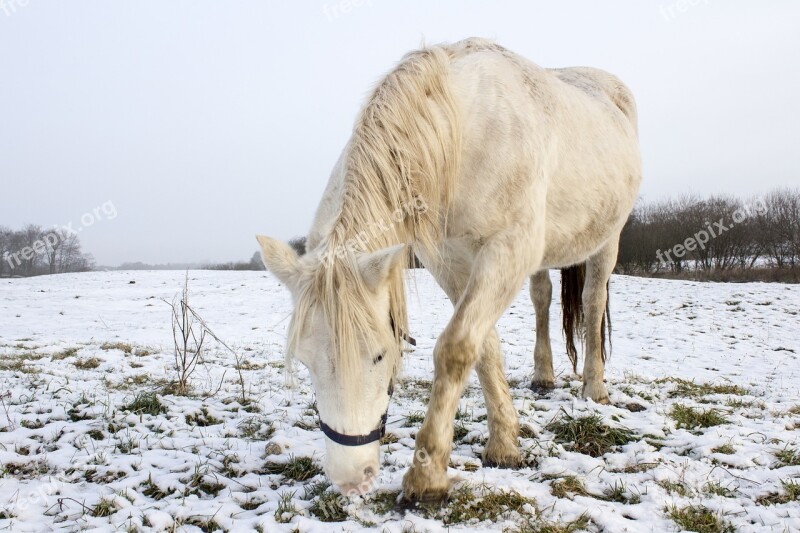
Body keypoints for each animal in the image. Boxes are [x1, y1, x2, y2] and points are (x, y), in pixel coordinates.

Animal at [260, 39, 640, 500]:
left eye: (380, 355)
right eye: (305, 360)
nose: (351, 478)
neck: (458, 133)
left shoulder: (507, 249)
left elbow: (456, 348)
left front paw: (427, 475)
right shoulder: (450, 262)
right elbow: (483, 348)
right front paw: (504, 443)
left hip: (608, 239)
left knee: (592, 300)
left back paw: (594, 388)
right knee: (542, 299)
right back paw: (543, 376)